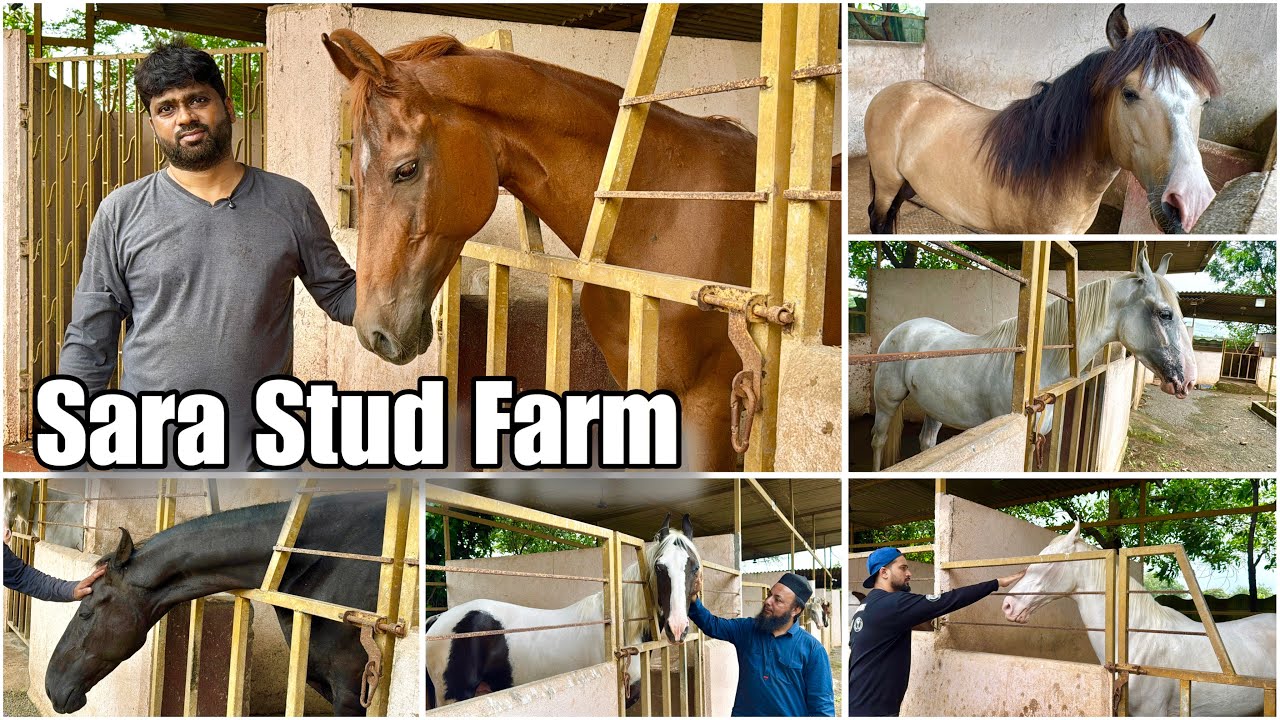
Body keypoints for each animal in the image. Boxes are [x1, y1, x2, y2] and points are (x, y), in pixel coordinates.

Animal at [425, 513, 702, 708]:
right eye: (659, 567)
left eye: (695, 567)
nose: (677, 628)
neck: (621, 631)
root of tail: (439, 620)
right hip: (454, 696)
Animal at [865, 4, 1220, 234]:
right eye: (1129, 93)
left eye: (1204, 100)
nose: (1191, 202)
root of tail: (891, 92)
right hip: (887, 183)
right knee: (878, 221)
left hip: (906, 186)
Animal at [870, 249, 1196, 471]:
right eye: (1165, 313)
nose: (1188, 381)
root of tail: (904, 328)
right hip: (887, 402)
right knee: (878, 439)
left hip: (936, 407)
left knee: (926, 442)